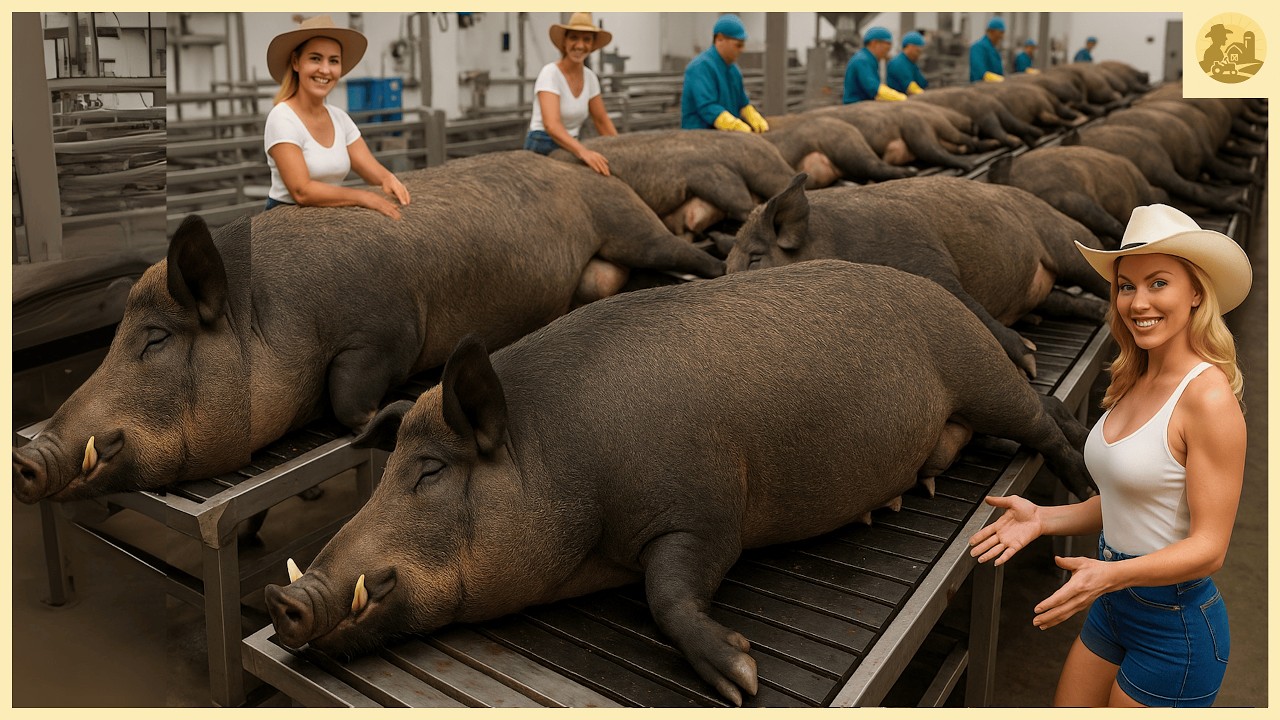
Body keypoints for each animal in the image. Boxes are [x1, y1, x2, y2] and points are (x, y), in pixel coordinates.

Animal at [12, 152, 725, 503]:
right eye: (117, 337)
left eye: (156, 338)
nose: (27, 457)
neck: (273, 317)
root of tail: (587, 170)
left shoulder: (381, 336)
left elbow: (348, 396)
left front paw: (384, 418)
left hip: (629, 221)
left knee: (686, 254)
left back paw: (721, 265)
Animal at [264, 260, 1097, 706]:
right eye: (391, 469)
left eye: (432, 470)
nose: (284, 602)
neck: (562, 459)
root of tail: (953, 298)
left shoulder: (708, 509)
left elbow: (667, 590)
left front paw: (742, 676)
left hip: (978, 371)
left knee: (1045, 421)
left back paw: (1080, 486)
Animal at [722, 174, 1111, 378]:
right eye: (726, 265)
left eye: (755, 258)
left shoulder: (928, 260)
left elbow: (970, 306)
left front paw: (1030, 363)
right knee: (1064, 299)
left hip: (1065, 239)